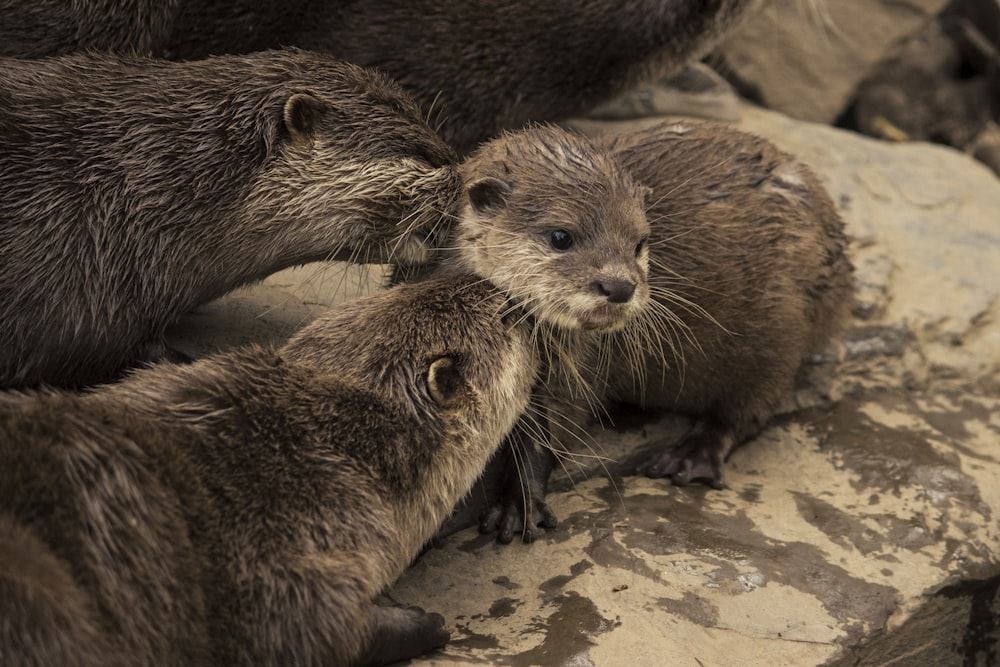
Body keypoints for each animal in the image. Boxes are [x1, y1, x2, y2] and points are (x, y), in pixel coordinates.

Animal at [414, 121, 852, 544]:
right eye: (561, 236)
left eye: (640, 242)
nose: (620, 286)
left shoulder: (581, 364)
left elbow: (554, 431)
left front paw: (519, 504)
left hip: (781, 328)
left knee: (749, 407)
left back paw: (691, 455)